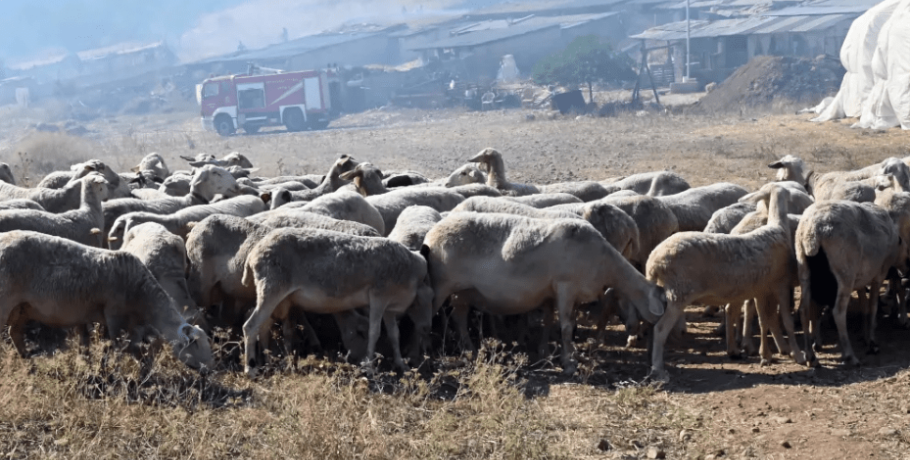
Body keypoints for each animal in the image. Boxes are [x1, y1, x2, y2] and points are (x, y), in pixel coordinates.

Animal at [0, 230, 213, 370]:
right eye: (195, 344)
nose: (209, 370)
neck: (142, 294)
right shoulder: (113, 313)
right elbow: (117, 345)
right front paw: (112, 370)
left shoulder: (133, 323)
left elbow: (134, 346)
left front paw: (144, 367)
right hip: (5, 300)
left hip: (22, 307)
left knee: (15, 332)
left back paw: (28, 361)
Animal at [239, 228, 432, 376]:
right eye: (427, 300)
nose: (425, 329)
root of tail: (253, 254)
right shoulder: (379, 296)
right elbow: (374, 332)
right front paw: (369, 367)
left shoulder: (389, 307)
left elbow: (394, 335)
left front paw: (401, 364)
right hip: (272, 288)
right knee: (250, 326)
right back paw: (250, 368)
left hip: (276, 295)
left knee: (263, 326)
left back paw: (267, 361)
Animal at [424, 212, 668, 374]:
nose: (641, 335)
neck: (604, 262)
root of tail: (431, 234)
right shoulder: (565, 286)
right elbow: (566, 326)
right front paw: (569, 363)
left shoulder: (556, 293)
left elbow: (553, 321)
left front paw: (554, 352)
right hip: (441, 285)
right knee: (431, 316)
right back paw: (428, 356)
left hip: (464, 291)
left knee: (459, 317)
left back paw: (469, 349)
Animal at [648, 185, 804, 382]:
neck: (777, 227)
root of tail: (653, 262)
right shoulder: (781, 285)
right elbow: (786, 321)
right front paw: (798, 355)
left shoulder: (762, 290)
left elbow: (765, 320)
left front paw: (766, 355)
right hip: (678, 293)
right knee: (660, 329)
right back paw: (658, 369)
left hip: (662, 292)